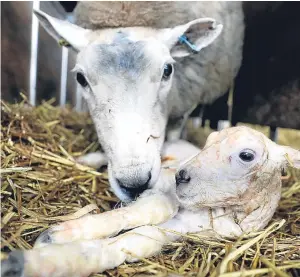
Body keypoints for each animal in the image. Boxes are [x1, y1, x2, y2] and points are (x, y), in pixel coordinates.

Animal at [1, 125, 298, 276]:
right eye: (209, 140)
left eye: (246, 155)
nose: (182, 176)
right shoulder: (162, 187)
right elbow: (145, 211)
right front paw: (64, 233)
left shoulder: (181, 231)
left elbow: (134, 241)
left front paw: (47, 259)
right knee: (109, 158)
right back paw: (82, 161)